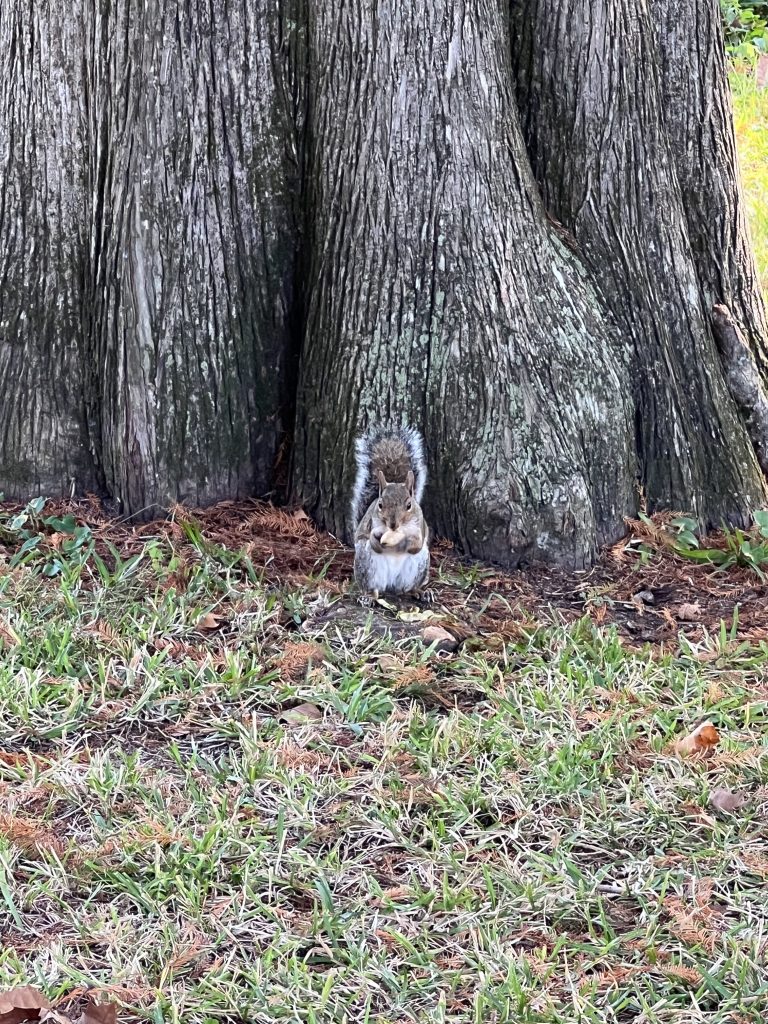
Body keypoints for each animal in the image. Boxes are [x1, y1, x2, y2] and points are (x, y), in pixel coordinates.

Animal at [351, 426, 431, 605]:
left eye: (409, 505)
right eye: (380, 505)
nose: (393, 525)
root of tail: (392, 584)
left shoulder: (420, 526)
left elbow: (416, 544)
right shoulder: (372, 524)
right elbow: (374, 541)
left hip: (420, 564)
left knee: (408, 588)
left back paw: (421, 592)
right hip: (367, 564)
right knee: (373, 588)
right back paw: (368, 597)